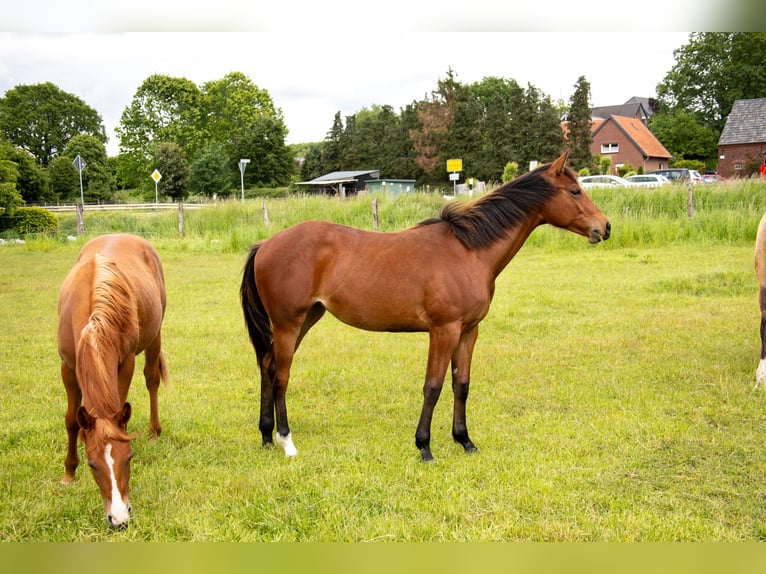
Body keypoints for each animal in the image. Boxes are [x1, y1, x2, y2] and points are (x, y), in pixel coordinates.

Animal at [57, 233, 168, 527]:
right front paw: (69, 473)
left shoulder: (125, 362)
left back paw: (154, 432)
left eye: (128, 458)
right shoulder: (67, 366)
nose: (119, 518)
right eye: (92, 465)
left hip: (155, 335)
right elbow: (71, 419)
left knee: (152, 380)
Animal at [240, 152, 611, 462]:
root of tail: (265, 244)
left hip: (305, 320)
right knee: (282, 375)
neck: (468, 250)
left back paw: (266, 436)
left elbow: (462, 384)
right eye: (575, 191)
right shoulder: (443, 330)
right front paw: (425, 447)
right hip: (289, 323)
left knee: (268, 368)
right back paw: (286, 441)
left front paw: (465, 441)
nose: (604, 227)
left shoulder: (468, 331)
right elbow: (432, 386)